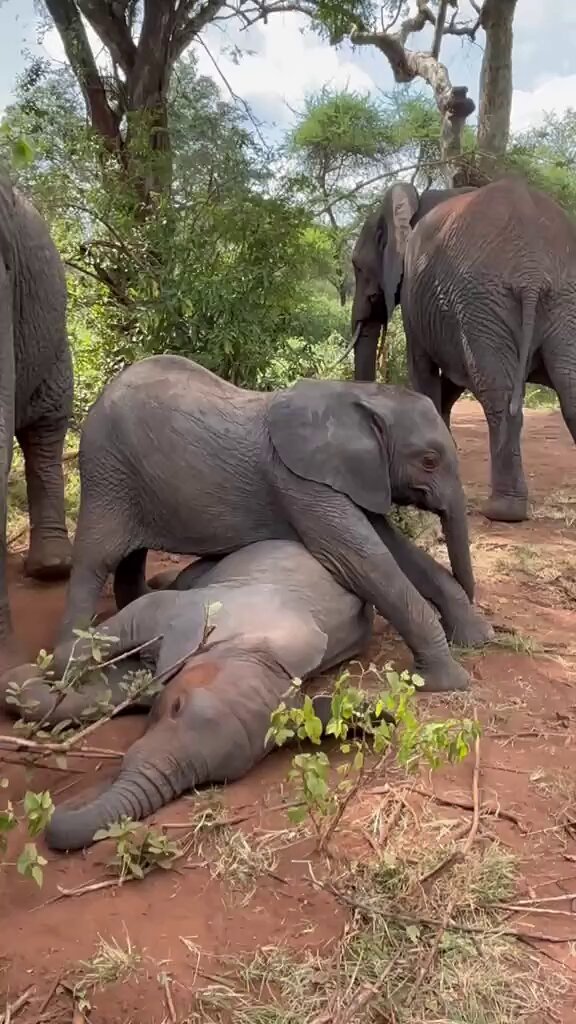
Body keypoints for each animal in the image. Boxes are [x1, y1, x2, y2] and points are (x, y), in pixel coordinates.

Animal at [0, 539, 492, 850]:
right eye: (176, 708)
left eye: (214, 782)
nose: (58, 812)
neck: (254, 652)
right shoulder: (191, 616)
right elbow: (101, 641)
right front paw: (26, 675)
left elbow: (121, 684)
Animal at [52, 355, 493, 693]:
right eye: (429, 461)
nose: (477, 633)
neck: (357, 396)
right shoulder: (299, 482)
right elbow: (362, 561)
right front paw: (449, 682)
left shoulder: (347, 478)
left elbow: (392, 548)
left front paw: (477, 639)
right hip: (106, 472)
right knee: (96, 559)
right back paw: (71, 661)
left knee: (130, 555)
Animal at [399, 176, 576, 522]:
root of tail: (532, 272)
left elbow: (423, 369)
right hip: (554, 297)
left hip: (483, 299)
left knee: (498, 395)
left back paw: (502, 512)